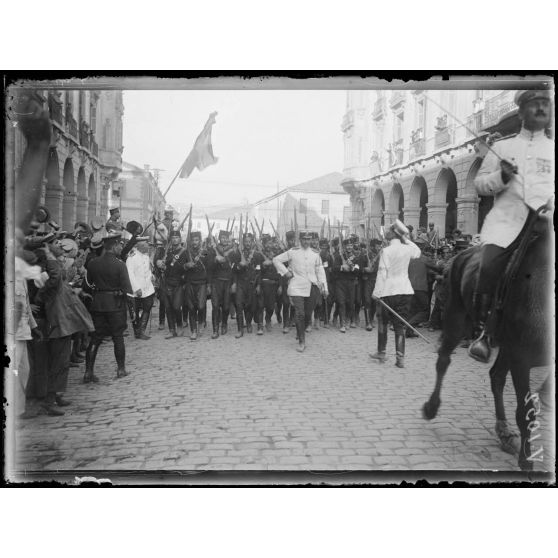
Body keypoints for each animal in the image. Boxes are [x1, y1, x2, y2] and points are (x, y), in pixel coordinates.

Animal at [424, 210, 556, 472]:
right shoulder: (521, 359)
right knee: (443, 360)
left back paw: (504, 431)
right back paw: (432, 406)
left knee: (496, 376)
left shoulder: (518, 353)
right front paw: (526, 461)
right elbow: (525, 410)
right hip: (456, 318)